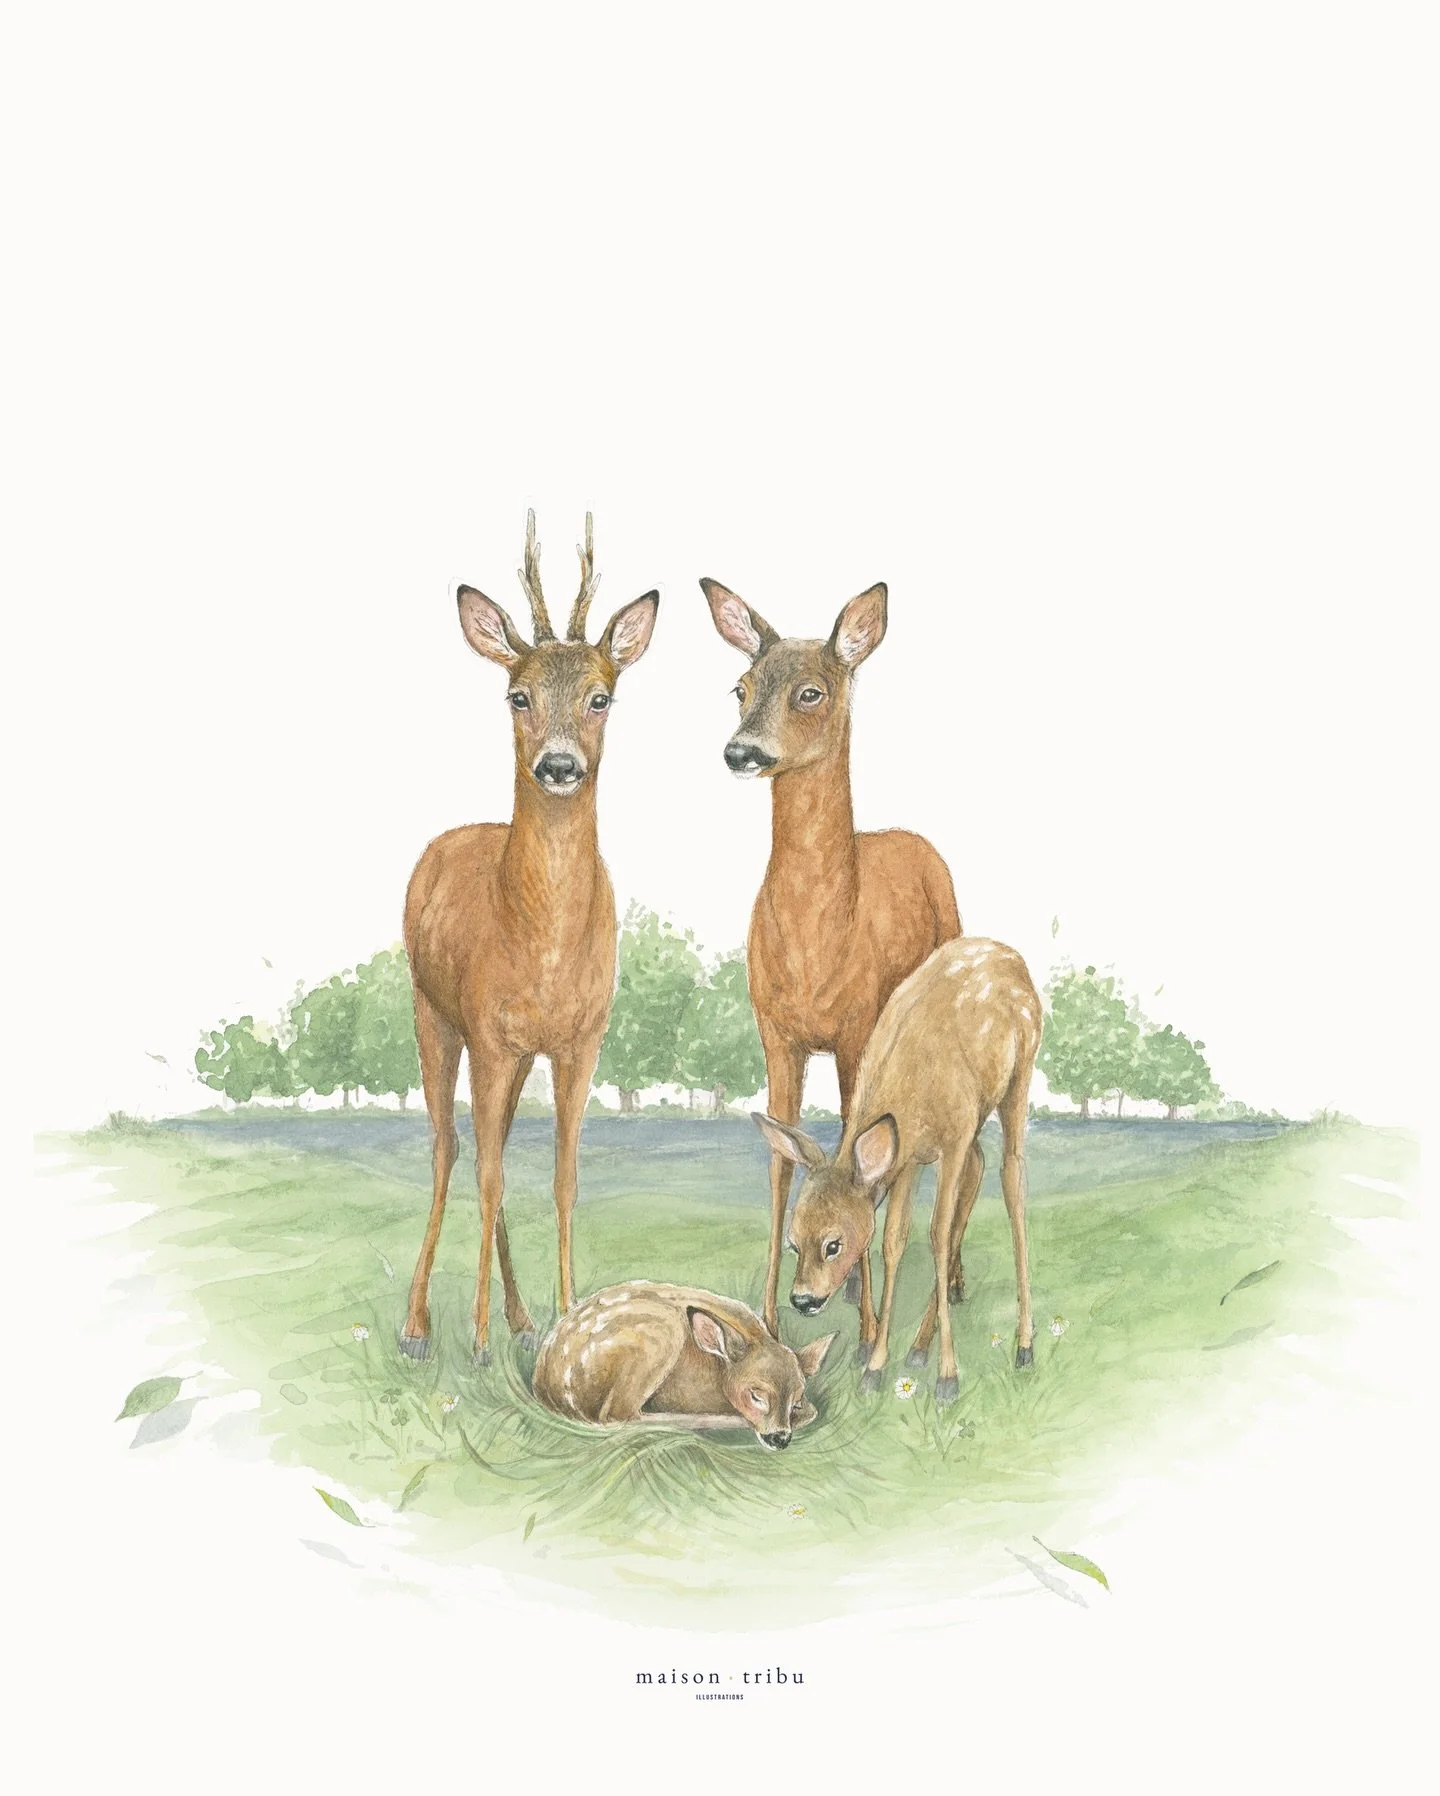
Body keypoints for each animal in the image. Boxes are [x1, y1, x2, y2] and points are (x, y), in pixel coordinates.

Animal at [400, 513, 658, 1366]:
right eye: (517, 694)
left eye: (601, 696)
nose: (559, 765)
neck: (540, 940)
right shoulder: (489, 1031)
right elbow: (485, 1174)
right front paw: (476, 1340)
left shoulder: (581, 1039)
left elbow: (563, 1177)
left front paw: (568, 1313)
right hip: (432, 1012)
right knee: (451, 1148)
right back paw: (420, 1325)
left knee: (495, 1148)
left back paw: (517, 1317)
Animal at [533, 1280, 836, 1447]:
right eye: (756, 1396)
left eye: (795, 1400)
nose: (780, 1438)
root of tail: (546, 1388)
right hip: (661, 1335)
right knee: (619, 1415)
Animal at [700, 576, 962, 1345]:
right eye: (740, 686)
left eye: (810, 691)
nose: (741, 751)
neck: (818, 939)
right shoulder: (775, 1033)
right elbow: (780, 1165)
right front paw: (766, 1316)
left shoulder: (854, 1032)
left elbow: (855, 1152)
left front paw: (872, 1321)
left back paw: (950, 1285)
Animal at [755, 937, 1041, 1403]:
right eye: (793, 1243)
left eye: (833, 1244)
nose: (802, 1299)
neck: (911, 1090)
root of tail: (1011, 955)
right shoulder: (908, 1159)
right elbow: (893, 1240)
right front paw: (875, 1367)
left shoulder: (952, 1138)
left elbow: (937, 1235)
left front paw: (948, 1377)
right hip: (977, 1122)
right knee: (980, 1171)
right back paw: (919, 1347)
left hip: (1018, 1077)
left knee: (1011, 1179)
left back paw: (1024, 1345)